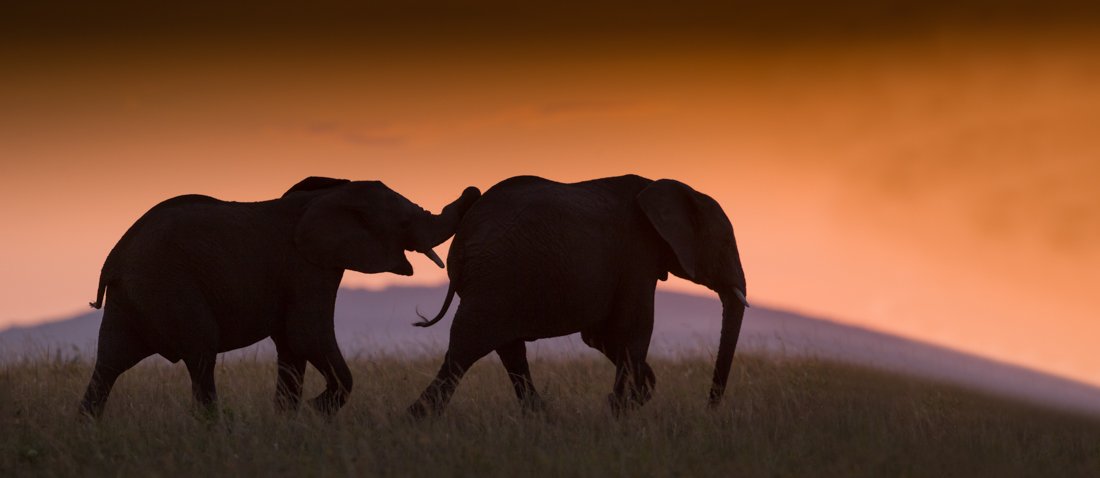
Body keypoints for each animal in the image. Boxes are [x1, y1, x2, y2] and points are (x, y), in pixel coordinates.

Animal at [79, 176, 481, 417]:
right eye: (404, 223)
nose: (473, 191)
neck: (331, 193)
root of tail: (114, 259)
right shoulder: (307, 266)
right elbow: (307, 335)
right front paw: (317, 410)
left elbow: (291, 347)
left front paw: (288, 419)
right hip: (169, 287)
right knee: (201, 356)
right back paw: (214, 431)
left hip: (132, 297)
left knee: (108, 363)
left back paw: (87, 429)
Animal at [409, 174, 748, 416]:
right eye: (725, 243)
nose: (709, 409)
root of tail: (466, 229)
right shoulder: (637, 254)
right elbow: (633, 328)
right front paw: (621, 408)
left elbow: (600, 335)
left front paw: (634, 396)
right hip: (496, 275)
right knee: (468, 345)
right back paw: (419, 417)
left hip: (496, 280)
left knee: (508, 350)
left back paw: (539, 417)